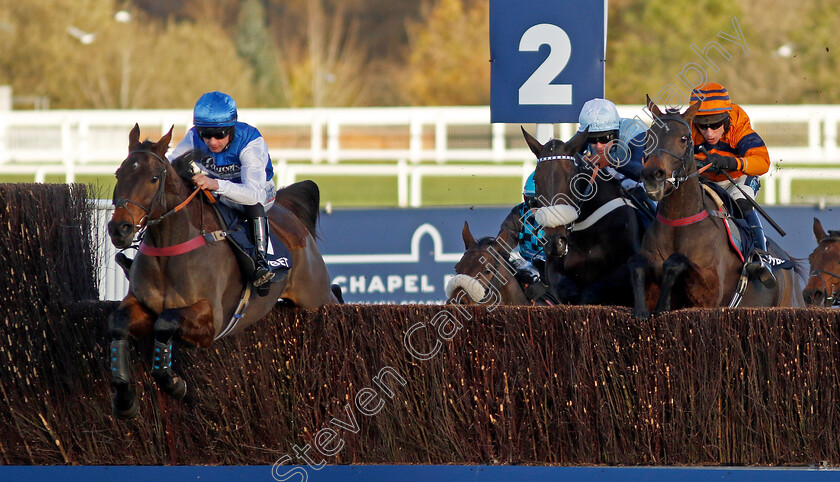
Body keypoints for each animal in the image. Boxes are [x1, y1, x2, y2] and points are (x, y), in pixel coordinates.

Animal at [107, 124, 338, 418]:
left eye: (153, 178)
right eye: (119, 173)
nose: (120, 229)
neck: (169, 248)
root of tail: (290, 213)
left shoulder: (212, 320)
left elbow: (165, 322)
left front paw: (173, 383)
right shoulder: (142, 304)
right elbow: (119, 324)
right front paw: (125, 398)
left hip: (314, 296)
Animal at [524, 126, 644, 304]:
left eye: (571, 178)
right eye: (537, 180)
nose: (556, 242)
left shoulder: (626, 267)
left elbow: (590, 293)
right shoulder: (554, 269)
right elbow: (564, 288)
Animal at [632, 98, 808, 318]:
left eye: (683, 138)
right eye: (649, 137)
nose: (652, 175)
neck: (678, 221)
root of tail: (786, 261)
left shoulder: (710, 293)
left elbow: (675, 261)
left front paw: (663, 305)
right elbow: (637, 264)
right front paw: (641, 310)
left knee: (743, 200)